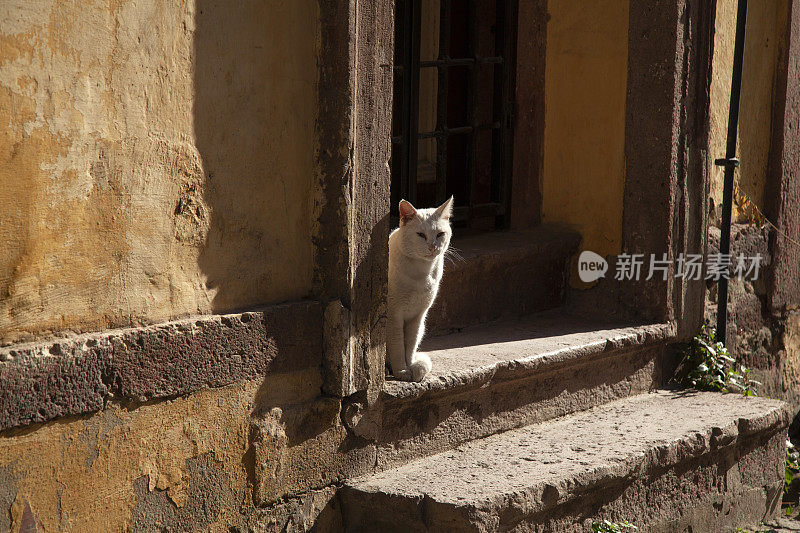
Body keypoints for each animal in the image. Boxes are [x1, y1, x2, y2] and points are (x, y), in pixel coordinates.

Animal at [390, 197, 454, 380]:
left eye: (440, 234)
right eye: (420, 235)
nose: (433, 247)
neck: (421, 273)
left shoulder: (418, 317)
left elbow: (409, 347)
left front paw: (411, 367)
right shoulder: (394, 316)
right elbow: (397, 346)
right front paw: (401, 371)